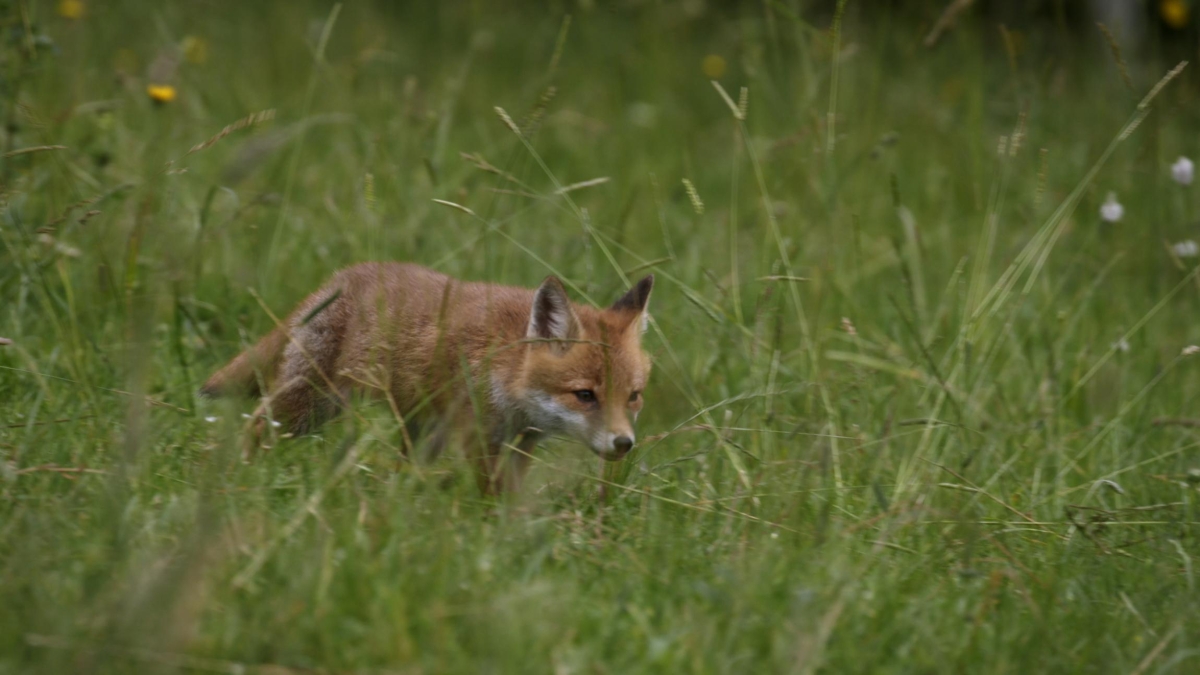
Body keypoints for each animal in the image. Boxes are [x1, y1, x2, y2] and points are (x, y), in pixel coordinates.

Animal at [201, 260, 652, 492]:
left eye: (633, 396)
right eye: (585, 395)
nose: (623, 444)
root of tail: (342, 276)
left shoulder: (520, 444)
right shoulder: (478, 438)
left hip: (419, 431)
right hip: (307, 406)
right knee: (255, 427)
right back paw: (238, 480)